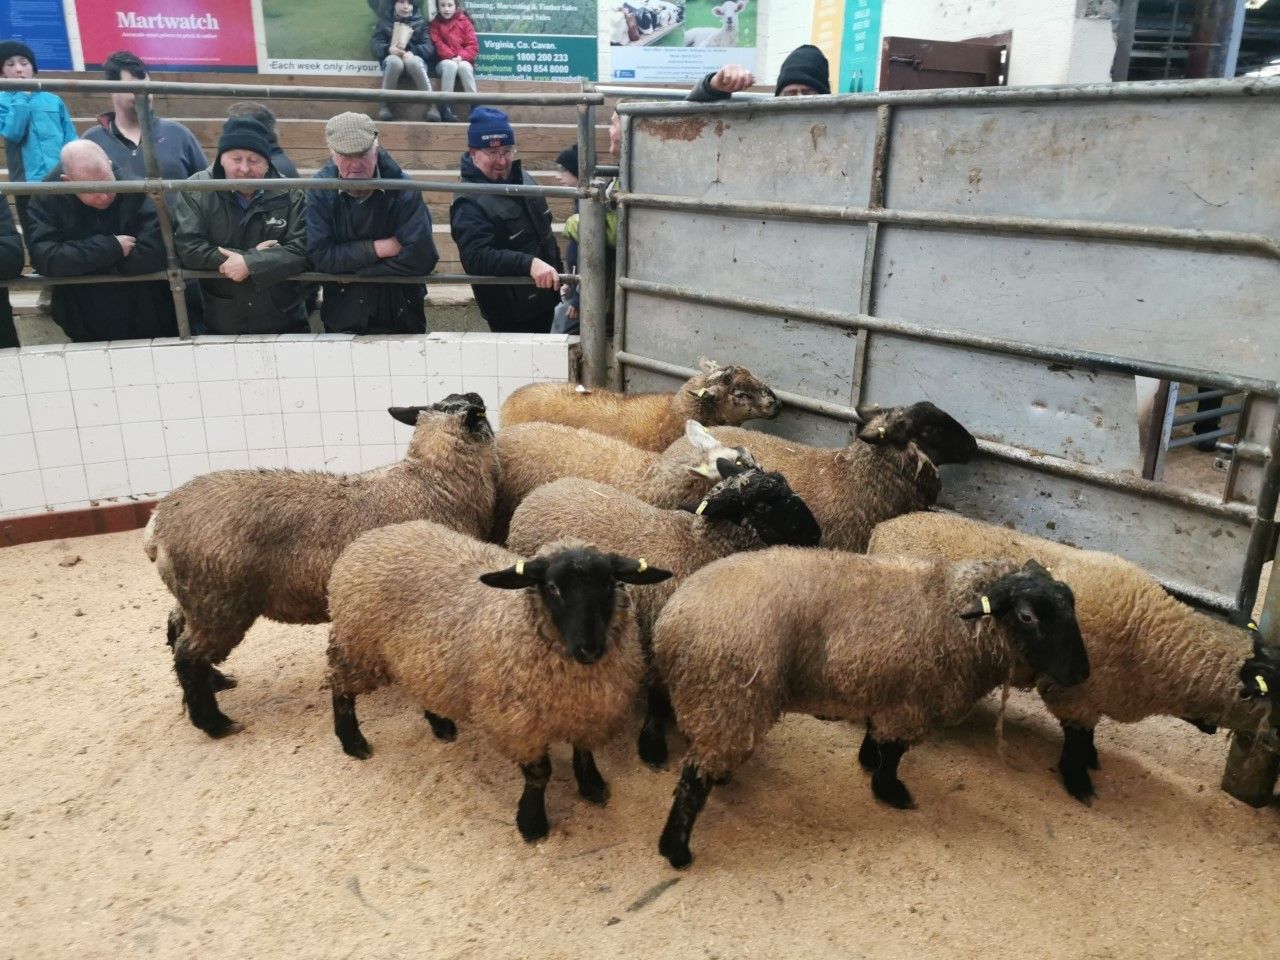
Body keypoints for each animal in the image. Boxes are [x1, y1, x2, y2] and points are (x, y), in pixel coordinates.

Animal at [144, 394, 497, 739]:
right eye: (481, 411)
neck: (436, 480)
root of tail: (157, 526)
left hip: (195, 596)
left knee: (176, 628)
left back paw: (217, 681)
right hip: (219, 603)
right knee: (188, 655)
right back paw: (214, 723)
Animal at [325, 521, 672, 842]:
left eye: (610, 583)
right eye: (552, 587)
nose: (589, 649)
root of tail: (374, 534)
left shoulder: (591, 714)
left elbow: (584, 752)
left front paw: (592, 786)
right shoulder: (517, 725)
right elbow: (539, 775)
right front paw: (532, 822)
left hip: (419, 660)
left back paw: (440, 724)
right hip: (357, 647)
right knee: (340, 687)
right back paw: (352, 741)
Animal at [506, 459, 822, 766]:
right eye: (762, 506)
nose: (816, 535)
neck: (698, 547)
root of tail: (543, 491)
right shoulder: (658, 630)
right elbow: (658, 693)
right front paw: (653, 742)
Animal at [652, 550, 1088, 867]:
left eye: (1072, 608)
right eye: (1027, 616)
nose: (1082, 672)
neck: (952, 608)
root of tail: (671, 621)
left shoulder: (887, 690)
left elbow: (877, 737)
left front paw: (868, 760)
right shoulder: (911, 703)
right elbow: (893, 753)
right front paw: (891, 791)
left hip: (719, 704)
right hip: (728, 698)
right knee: (693, 780)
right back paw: (675, 850)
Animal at [868, 510, 1280, 803]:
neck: (1154, 635)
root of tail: (883, 528)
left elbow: (1089, 735)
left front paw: (1093, 760)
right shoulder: (1074, 694)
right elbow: (1077, 740)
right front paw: (1079, 781)